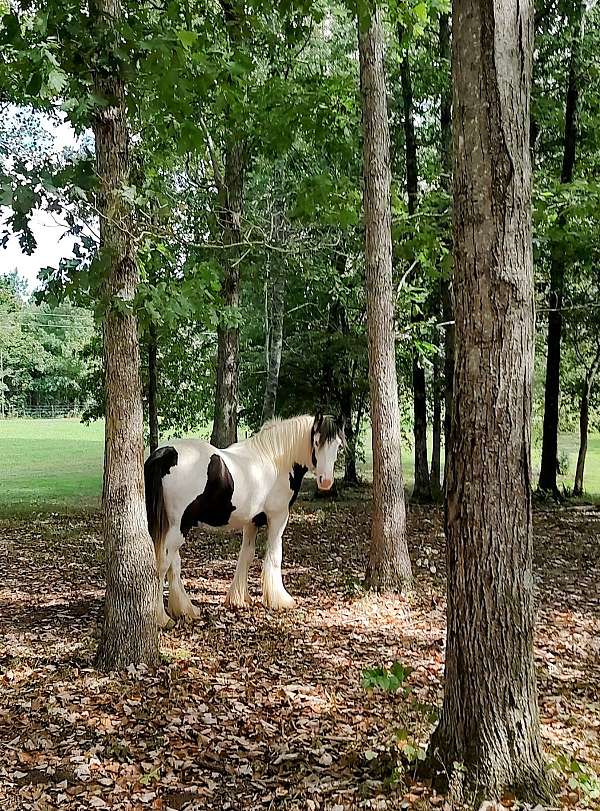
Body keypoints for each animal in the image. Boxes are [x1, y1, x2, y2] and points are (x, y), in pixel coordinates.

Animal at [142, 416, 344, 624]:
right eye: (316, 442)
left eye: (338, 445)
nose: (326, 482)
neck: (275, 460)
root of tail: (165, 453)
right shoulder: (278, 518)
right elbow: (274, 555)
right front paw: (280, 600)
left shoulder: (252, 522)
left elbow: (246, 555)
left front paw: (239, 598)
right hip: (179, 526)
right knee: (163, 563)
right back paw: (161, 617)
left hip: (174, 527)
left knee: (173, 563)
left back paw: (185, 609)